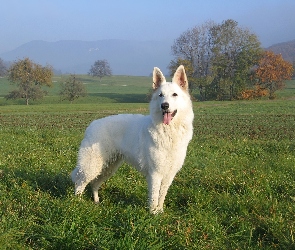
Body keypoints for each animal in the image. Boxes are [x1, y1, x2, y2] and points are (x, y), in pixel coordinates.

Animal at [71, 65, 194, 214]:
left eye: (174, 95)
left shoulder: (169, 174)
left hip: (108, 168)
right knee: (80, 183)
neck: (169, 132)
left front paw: (160, 211)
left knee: (94, 184)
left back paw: (96, 202)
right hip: (93, 166)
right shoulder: (155, 173)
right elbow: (154, 195)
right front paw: (153, 213)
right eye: (160, 95)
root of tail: (91, 125)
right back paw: (77, 204)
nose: (164, 105)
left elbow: (162, 195)